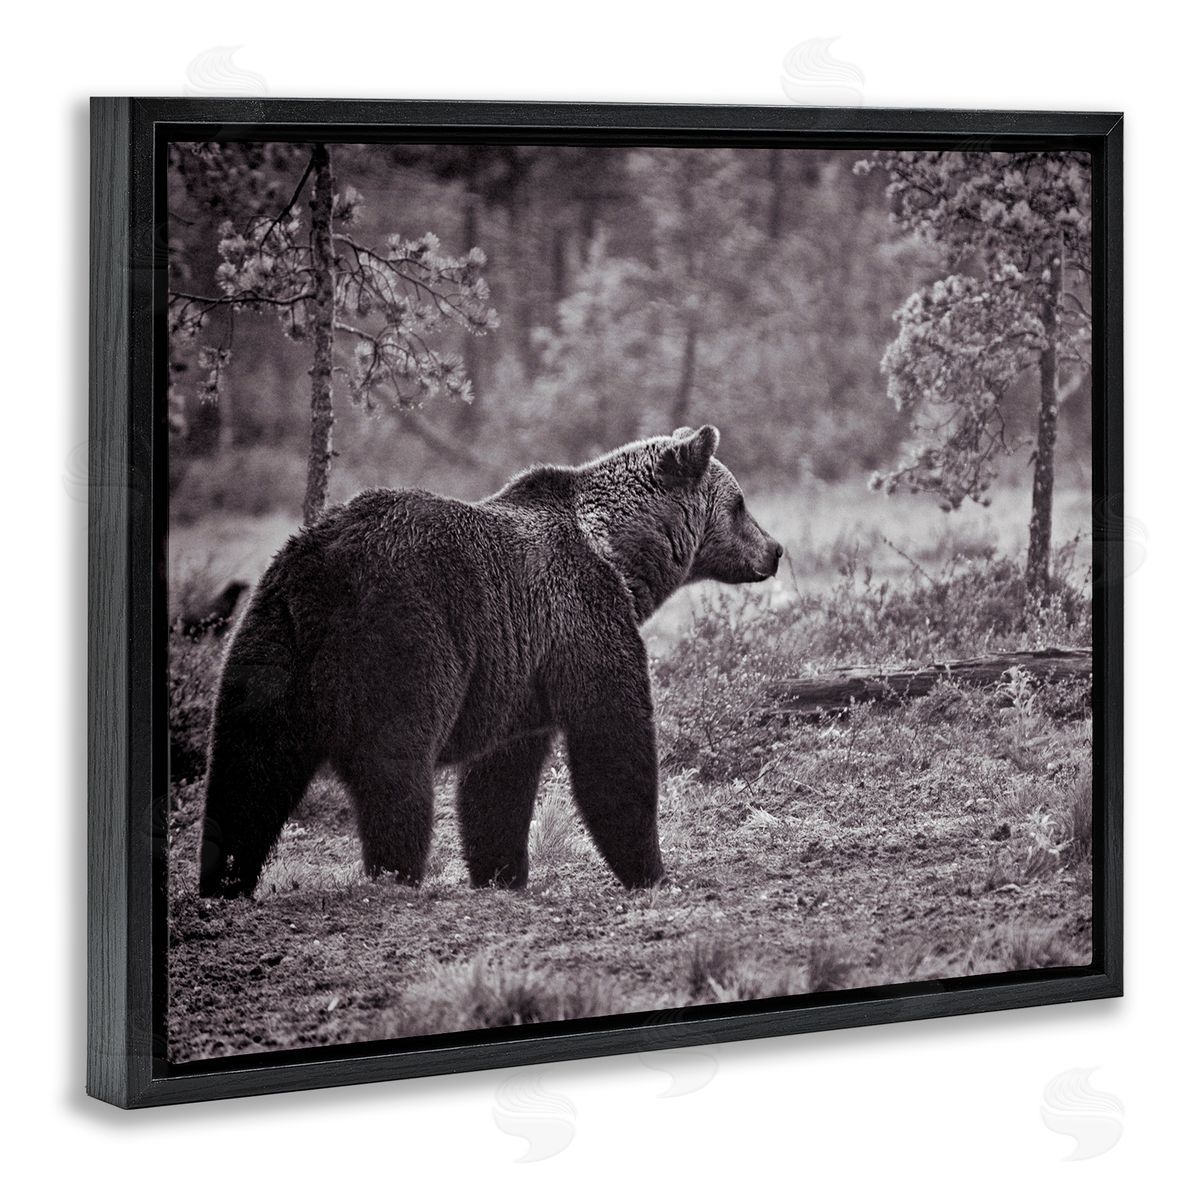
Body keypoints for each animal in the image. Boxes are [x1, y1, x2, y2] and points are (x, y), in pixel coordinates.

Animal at [197, 425, 782, 898]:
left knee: (247, 768)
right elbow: (612, 739)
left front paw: (502, 873)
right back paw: (396, 874)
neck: (618, 555)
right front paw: (652, 871)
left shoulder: (520, 675)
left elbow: (500, 779)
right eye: (740, 503)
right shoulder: (582, 619)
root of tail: (325, 570)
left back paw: (223, 881)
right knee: (394, 767)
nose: (775, 549)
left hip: (269, 641)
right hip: (405, 636)